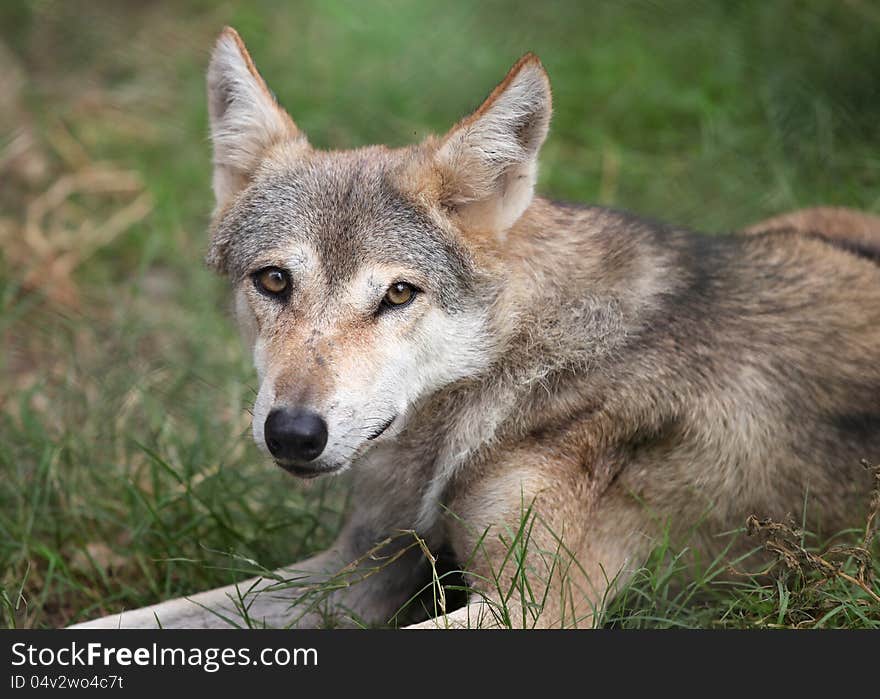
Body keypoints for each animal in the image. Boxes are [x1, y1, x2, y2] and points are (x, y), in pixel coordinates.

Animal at [72, 27, 880, 632]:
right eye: (274, 281)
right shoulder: (364, 565)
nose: (293, 434)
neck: (515, 378)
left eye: (399, 293)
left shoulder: (539, 605)